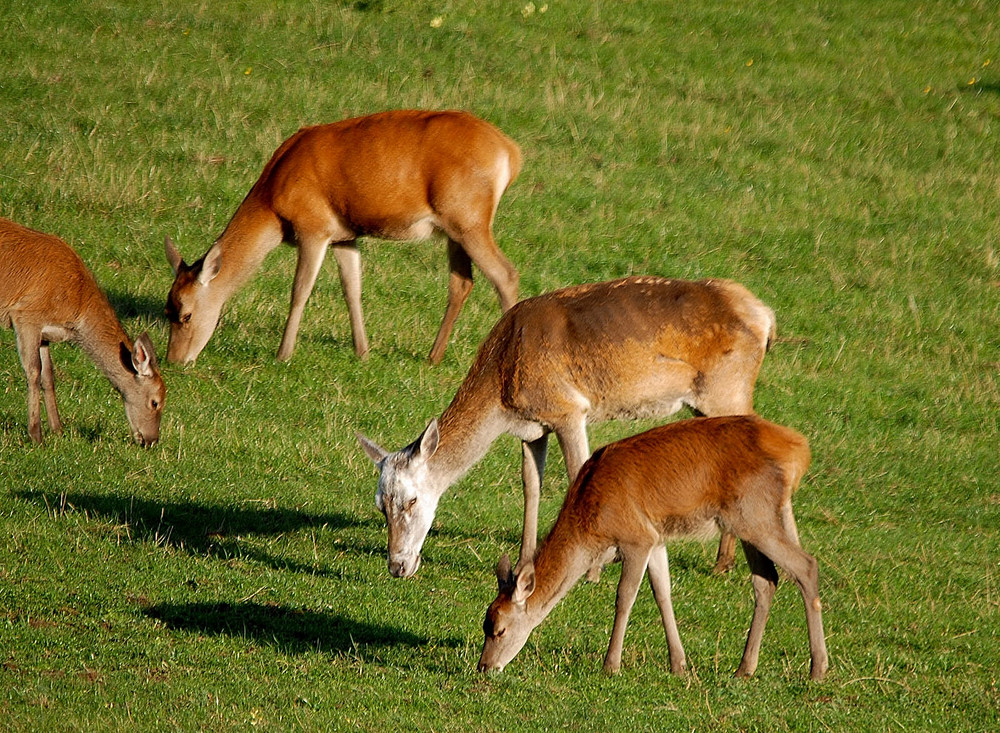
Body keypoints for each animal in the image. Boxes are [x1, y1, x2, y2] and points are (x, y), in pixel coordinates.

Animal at [0, 216, 166, 446]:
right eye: (155, 402)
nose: (151, 440)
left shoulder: (45, 334)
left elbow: (48, 375)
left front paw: (58, 430)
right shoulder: (26, 315)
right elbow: (33, 371)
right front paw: (36, 435)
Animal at [162, 108, 524, 366]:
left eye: (186, 314)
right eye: (166, 310)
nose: (175, 361)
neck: (272, 202)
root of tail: (511, 153)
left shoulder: (314, 226)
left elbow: (300, 291)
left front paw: (283, 354)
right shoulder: (344, 236)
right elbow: (352, 289)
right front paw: (362, 351)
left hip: (468, 218)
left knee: (505, 274)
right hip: (454, 228)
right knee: (461, 282)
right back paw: (433, 357)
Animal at [356, 274, 776, 576]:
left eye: (412, 500)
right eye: (380, 505)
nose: (397, 566)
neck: (502, 387)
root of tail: (766, 315)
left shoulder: (568, 409)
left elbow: (578, 473)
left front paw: (594, 570)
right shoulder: (532, 427)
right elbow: (531, 485)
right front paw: (524, 562)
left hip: (727, 388)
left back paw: (725, 563)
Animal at [476, 414, 828, 676]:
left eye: (500, 629)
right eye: (484, 624)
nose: (484, 666)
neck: (592, 526)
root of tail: (799, 451)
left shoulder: (636, 537)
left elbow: (625, 597)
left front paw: (611, 665)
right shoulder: (656, 538)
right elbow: (662, 593)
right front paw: (679, 665)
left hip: (753, 516)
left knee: (806, 565)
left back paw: (818, 669)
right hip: (760, 518)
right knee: (767, 580)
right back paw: (745, 668)